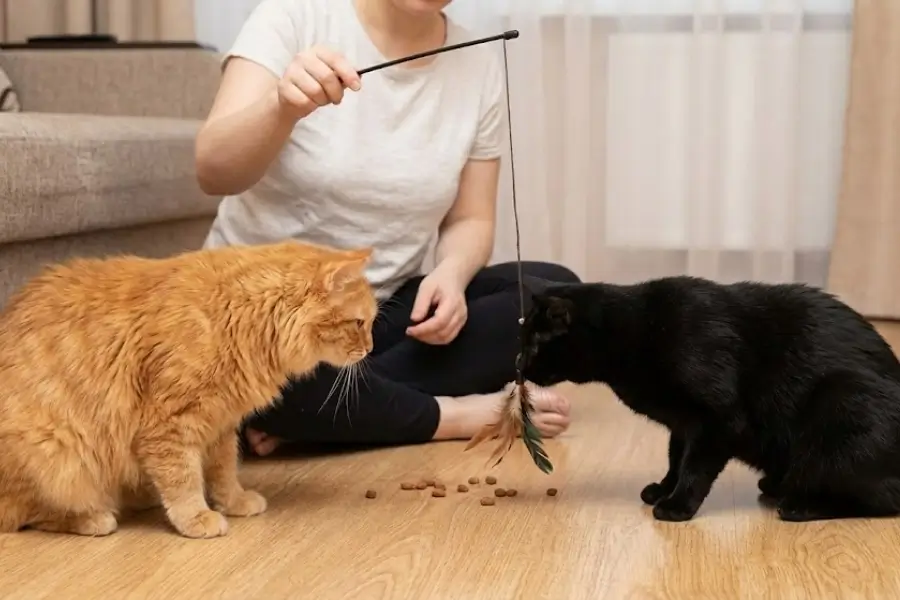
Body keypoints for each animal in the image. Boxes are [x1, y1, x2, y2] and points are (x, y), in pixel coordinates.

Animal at [0, 240, 377, 538]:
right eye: (360, 323)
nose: (370, 349)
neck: (238, 316)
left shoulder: (221, 424)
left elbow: (224, 471)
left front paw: (233, 501)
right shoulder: (169, 425)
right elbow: (182, 480)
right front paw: (196, 517)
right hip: (57, 452)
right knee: (27, 515)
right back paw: (94, 518)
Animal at [518, 275, 900, 523]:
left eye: (534, 344)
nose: (519, 365)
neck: (640, 329)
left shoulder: (718, 422)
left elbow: (695, 468)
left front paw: (678, 505)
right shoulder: (683, 424)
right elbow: (676, 460)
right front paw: (664, 489)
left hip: (842, 401)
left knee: (879, 499)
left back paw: (801, 505)